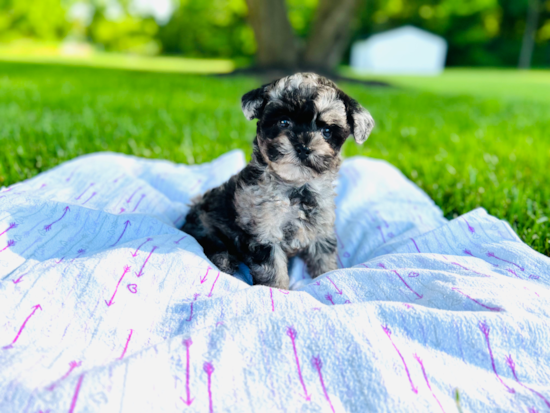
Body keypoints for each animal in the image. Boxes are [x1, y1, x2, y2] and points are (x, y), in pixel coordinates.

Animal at [183, 72, 378, 288]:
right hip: (204, 223)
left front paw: (327, 276)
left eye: (327, 131)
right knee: (209, 242)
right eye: (284, 122)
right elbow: (273, 270)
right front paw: (277, 290)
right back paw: (224, 260)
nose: (303, 147)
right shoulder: (264, 232)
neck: (297, 187)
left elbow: (323, 259)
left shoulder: (321, 228)